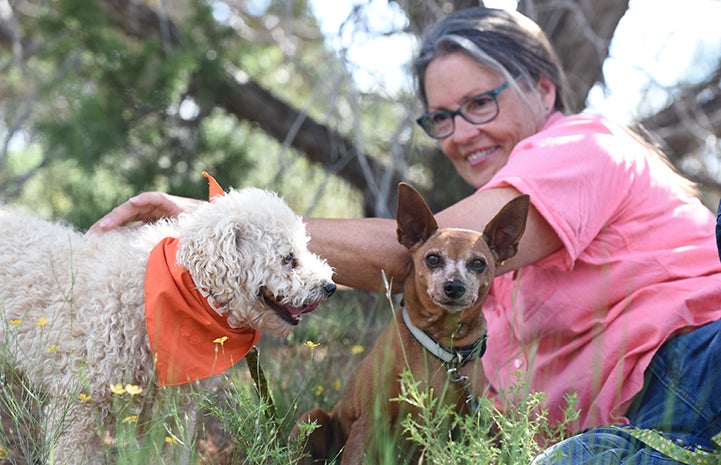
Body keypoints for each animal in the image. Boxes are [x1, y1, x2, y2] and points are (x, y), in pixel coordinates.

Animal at [292, 183, 528, 462]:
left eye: (478, 263)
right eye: (433, 258)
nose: (454, 287)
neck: (439, 343)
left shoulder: (462, 426)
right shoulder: (369, 422)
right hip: (312, 418)